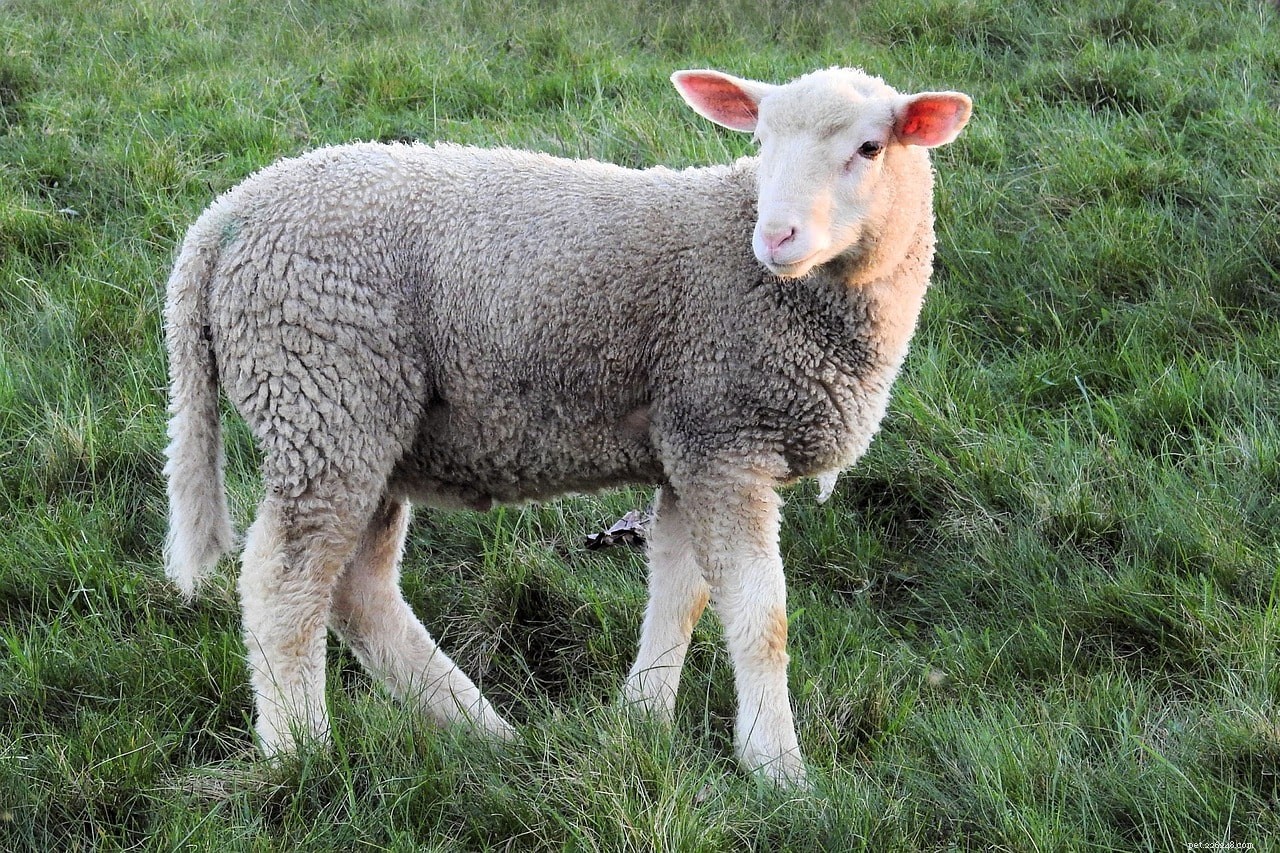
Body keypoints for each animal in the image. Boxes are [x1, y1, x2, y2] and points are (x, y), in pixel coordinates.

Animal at [162, 66, 971, 785]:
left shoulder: (689, 437)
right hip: (323, 394)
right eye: (762, 139)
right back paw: (301, 753)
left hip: (365, 423)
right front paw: (778, 768)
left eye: (870, 148)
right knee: (285, 586)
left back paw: (479, 730)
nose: (776, 237)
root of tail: (218, 225)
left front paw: (642, 721)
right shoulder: (725, 438)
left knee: (359, 591)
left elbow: (679, 594)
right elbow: (758, 615)